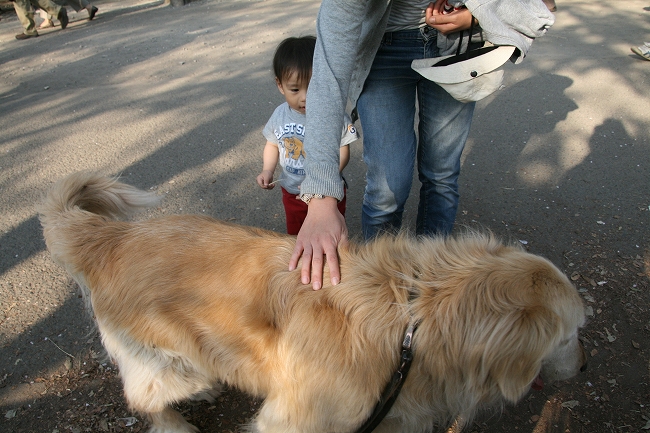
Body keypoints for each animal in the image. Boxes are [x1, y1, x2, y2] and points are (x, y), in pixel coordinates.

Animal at [39, 170, 588, 430]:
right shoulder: (293, 421)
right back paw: (179, 424)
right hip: (165, 361)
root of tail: (110, 237)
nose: (584, 367)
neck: (412, 322)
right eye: (571, 334)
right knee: (144, 398)